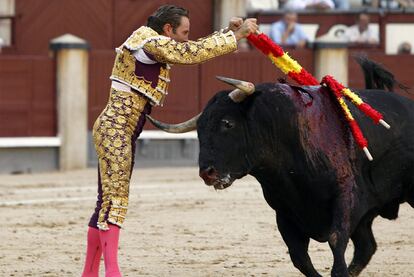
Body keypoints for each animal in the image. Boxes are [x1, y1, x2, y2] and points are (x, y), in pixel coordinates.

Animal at [147, 57, 412, 274]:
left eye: (227, 123)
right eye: (199, 130)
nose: (207, 173)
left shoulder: (345, 196)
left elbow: (336, 242)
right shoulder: (284, 212)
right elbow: (299, 258)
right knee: (367, 247)